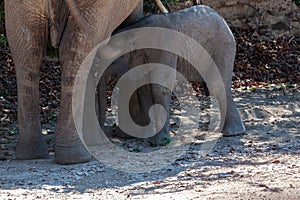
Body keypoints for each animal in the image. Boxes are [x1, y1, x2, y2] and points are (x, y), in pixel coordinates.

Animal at [99, 5, 245, 143]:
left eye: (111, 61)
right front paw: (147, 138)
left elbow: (160, 88)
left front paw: (160, 142)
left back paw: (232, 133)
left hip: (222, 47)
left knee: (218, 84)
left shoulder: (164, 48)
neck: (134, 30)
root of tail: (222, 19)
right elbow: (143, 88)